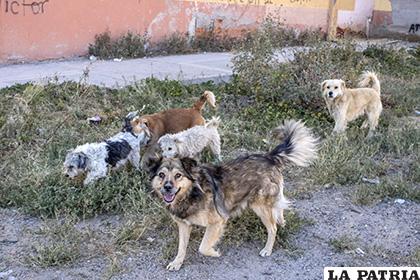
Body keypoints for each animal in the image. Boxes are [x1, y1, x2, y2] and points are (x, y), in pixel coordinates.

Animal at [149, 120, 316, 272]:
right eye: (161, 175)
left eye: (178, 175)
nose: (167, 188)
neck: (192, 193)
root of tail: (269, 157)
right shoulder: (184, 225)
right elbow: (181, 247)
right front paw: (177, 262)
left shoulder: (217, 221)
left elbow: (203, 246)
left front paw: (214, 252)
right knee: (279, 208)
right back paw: (281, 221)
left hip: (259, 205)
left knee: (273, 228)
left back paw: (268, 249)